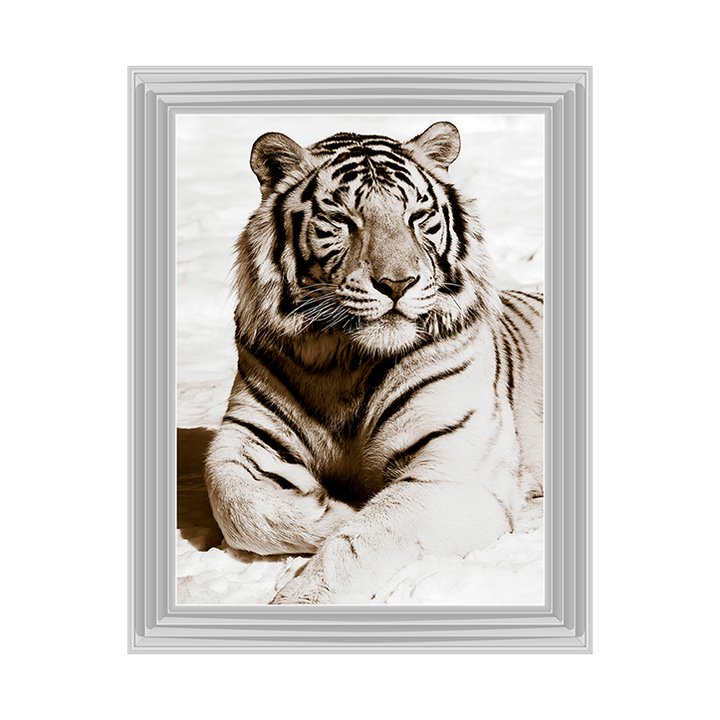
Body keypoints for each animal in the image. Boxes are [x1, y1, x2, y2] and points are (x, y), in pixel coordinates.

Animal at [204, 121, 543, 604]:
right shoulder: (246, 435)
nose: (398, 283)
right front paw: (336, 508)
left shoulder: (454, 471)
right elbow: (236, 505)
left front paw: (303, 595)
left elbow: (366, 539)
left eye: (417, 217)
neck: (344, 360)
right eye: (343, 221)